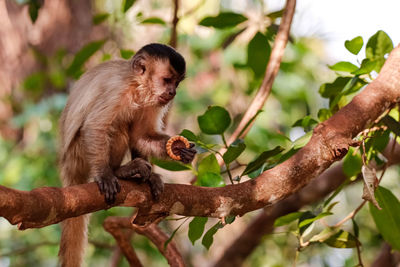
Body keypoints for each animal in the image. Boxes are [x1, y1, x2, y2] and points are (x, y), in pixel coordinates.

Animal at [57, 44, 197, 267]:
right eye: (167, 80)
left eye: (177, 83)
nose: (173, 92)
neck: (137, 87)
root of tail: (67, 165)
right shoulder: (118, 91)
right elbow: (95, 126)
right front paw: (105, 174)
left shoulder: (154, 101)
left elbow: (141, 136)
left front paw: (178, 149)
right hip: (77, 154)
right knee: (117, 127)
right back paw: (119, 171)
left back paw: (146, 176)